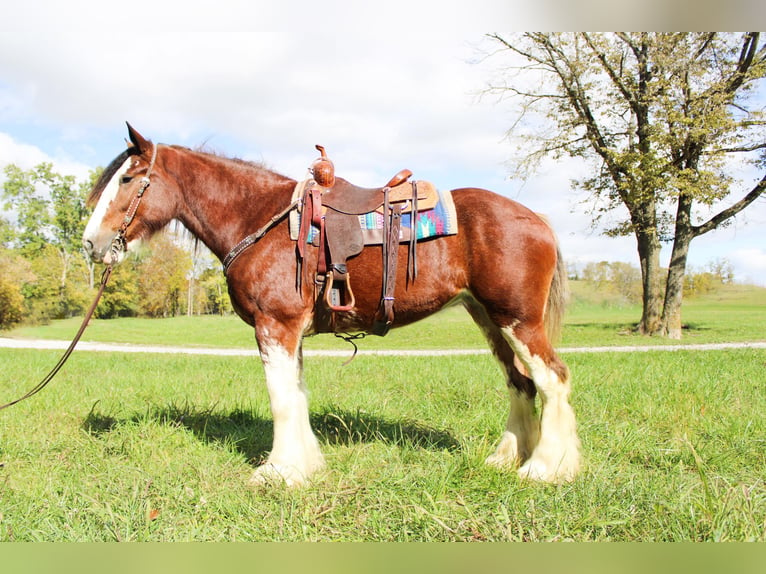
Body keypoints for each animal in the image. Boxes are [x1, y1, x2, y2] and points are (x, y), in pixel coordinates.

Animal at [82, 124, 584, 488]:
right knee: (521, 383)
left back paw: (546, 468)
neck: (258, 219)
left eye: (127, 179)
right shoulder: (291, 332)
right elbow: (297, 395)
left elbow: (281, 399)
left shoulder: (276, 326)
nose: (91, 244)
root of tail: (537, 218)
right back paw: (506, 458)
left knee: (553, 378)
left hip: (518, 320)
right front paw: (306, 465)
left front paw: (278, 473)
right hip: (489, 319)